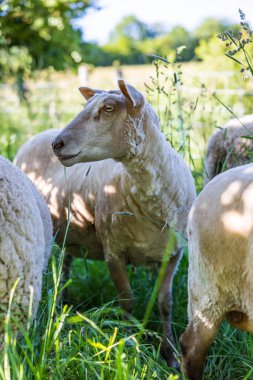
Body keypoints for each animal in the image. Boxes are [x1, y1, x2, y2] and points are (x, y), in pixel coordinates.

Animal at [13, 79, 196, 366]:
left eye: (108, 108)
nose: (57, 144)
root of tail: (37, 135)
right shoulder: (114, 252)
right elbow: (127, 301)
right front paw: (131, 346)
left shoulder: (173, 254)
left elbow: (165, 303)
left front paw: (171, 355)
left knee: (65, 267)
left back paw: (62, 304)